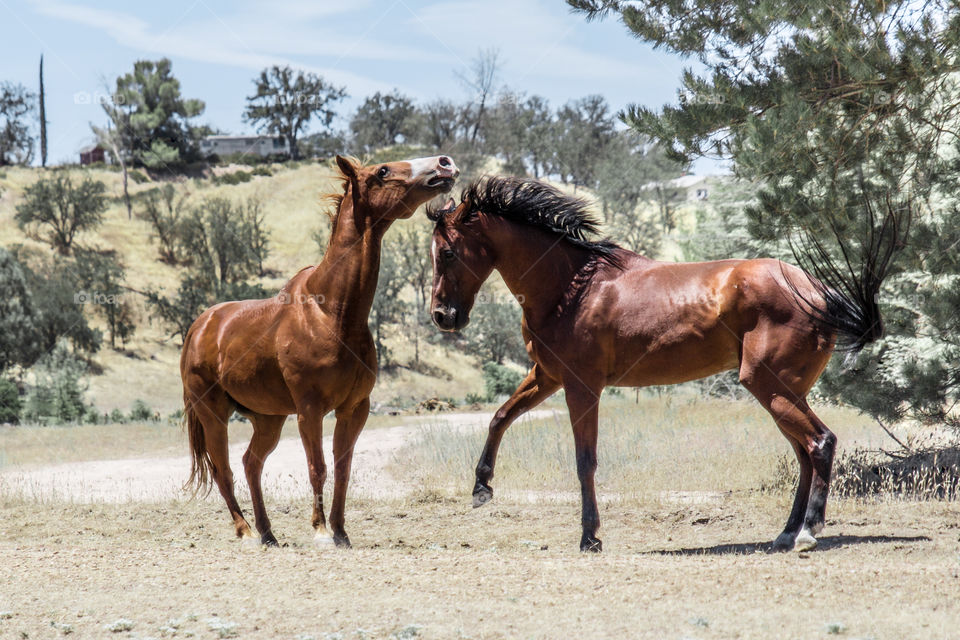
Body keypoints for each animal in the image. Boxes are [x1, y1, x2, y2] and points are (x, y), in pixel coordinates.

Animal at [184, 154, 462, 544]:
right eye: (382, 171)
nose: (444, 164)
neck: (330, 313)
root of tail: (201, 326)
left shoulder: (354, 409)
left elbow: (343, 468)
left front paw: (340, 532)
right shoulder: (310, 410)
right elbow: (318, 467)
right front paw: (319, 531)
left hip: (268, 419)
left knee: (251, 463)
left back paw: (268, 534)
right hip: (213, 414)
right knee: (223, 469)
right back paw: (246, 532)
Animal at [428, 174, 900, 552]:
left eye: (447, 253)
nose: (442, 316)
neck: (573, 288)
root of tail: (816, 290)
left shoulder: (582, 387)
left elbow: (584, 461)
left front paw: (590, 537)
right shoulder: (547, 377)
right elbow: (500, 417)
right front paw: (482, 488)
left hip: (771, 387)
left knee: (820, 443)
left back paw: (807, 532)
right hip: (784, 393)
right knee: (804, 453)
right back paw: (785, 534)